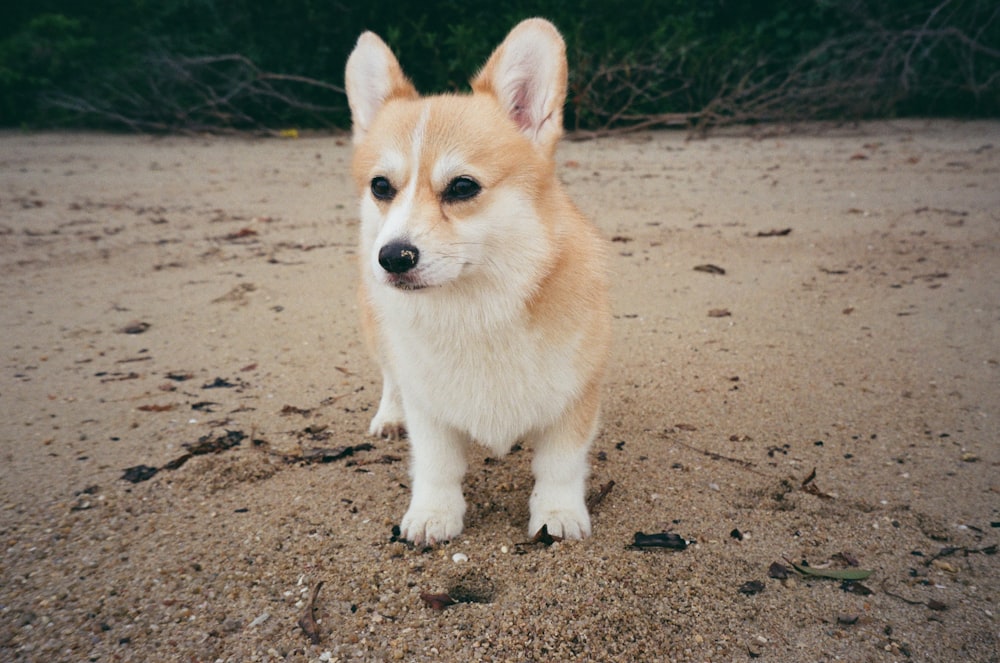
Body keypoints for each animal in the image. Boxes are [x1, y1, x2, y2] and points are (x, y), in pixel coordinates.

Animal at [344, 18, 608, 548]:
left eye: (462, 187)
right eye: (381, 186)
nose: (393, 257)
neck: (476, 306)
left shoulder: (576, 395)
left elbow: (560, 465)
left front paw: (558, 514)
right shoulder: (428, 406)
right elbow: (436, 465)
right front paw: (432, 515)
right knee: (389, 376)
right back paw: (389, 417)